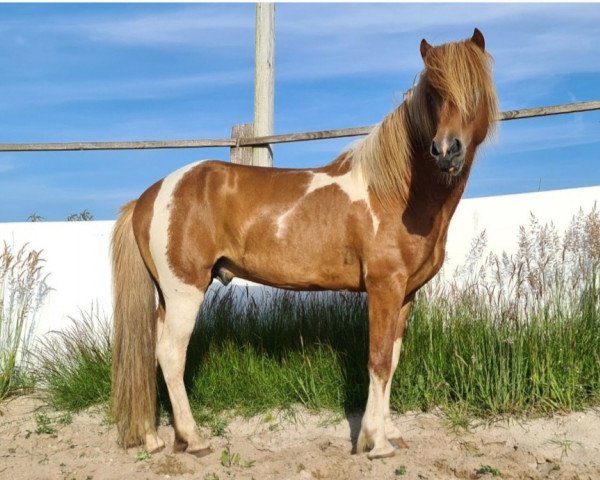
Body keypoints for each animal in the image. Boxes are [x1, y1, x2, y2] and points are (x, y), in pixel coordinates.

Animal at [111, 28, 496, 460]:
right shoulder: (384, 288)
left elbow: (392, 360)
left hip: (167, 294)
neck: (397, 195)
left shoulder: (405, 294)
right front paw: (375, 442)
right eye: (433, 92)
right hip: (184, 290)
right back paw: (194, 439)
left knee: (148, 353)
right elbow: (378, 361)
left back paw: (154, 437)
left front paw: (391, 432)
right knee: (170, 355)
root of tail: (150, 196)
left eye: (476, 87)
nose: (446, 150)